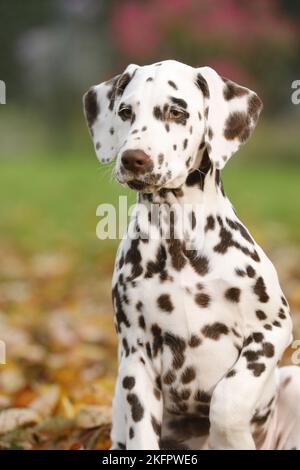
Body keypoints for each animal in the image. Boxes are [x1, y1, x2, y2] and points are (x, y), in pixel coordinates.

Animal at [83, 60, 300, 450]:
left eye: (176, 111)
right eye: (125, 111)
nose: (133, 159)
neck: (178, 243)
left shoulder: (272, 328)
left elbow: (227, 399)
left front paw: (231, 438)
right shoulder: (136, 356)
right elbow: (143, 436)